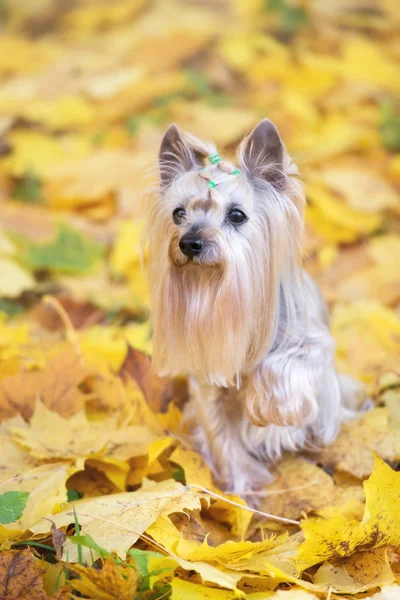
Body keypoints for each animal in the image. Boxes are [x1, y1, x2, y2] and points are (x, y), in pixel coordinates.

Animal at [146, 119, 362, 494]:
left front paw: (271, 407)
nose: (190, 242)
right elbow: (222, 437)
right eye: (178, 213)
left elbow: (286, 364)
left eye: (237, 215)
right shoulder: (209, 387)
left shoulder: (313, 345)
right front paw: (241, 490)